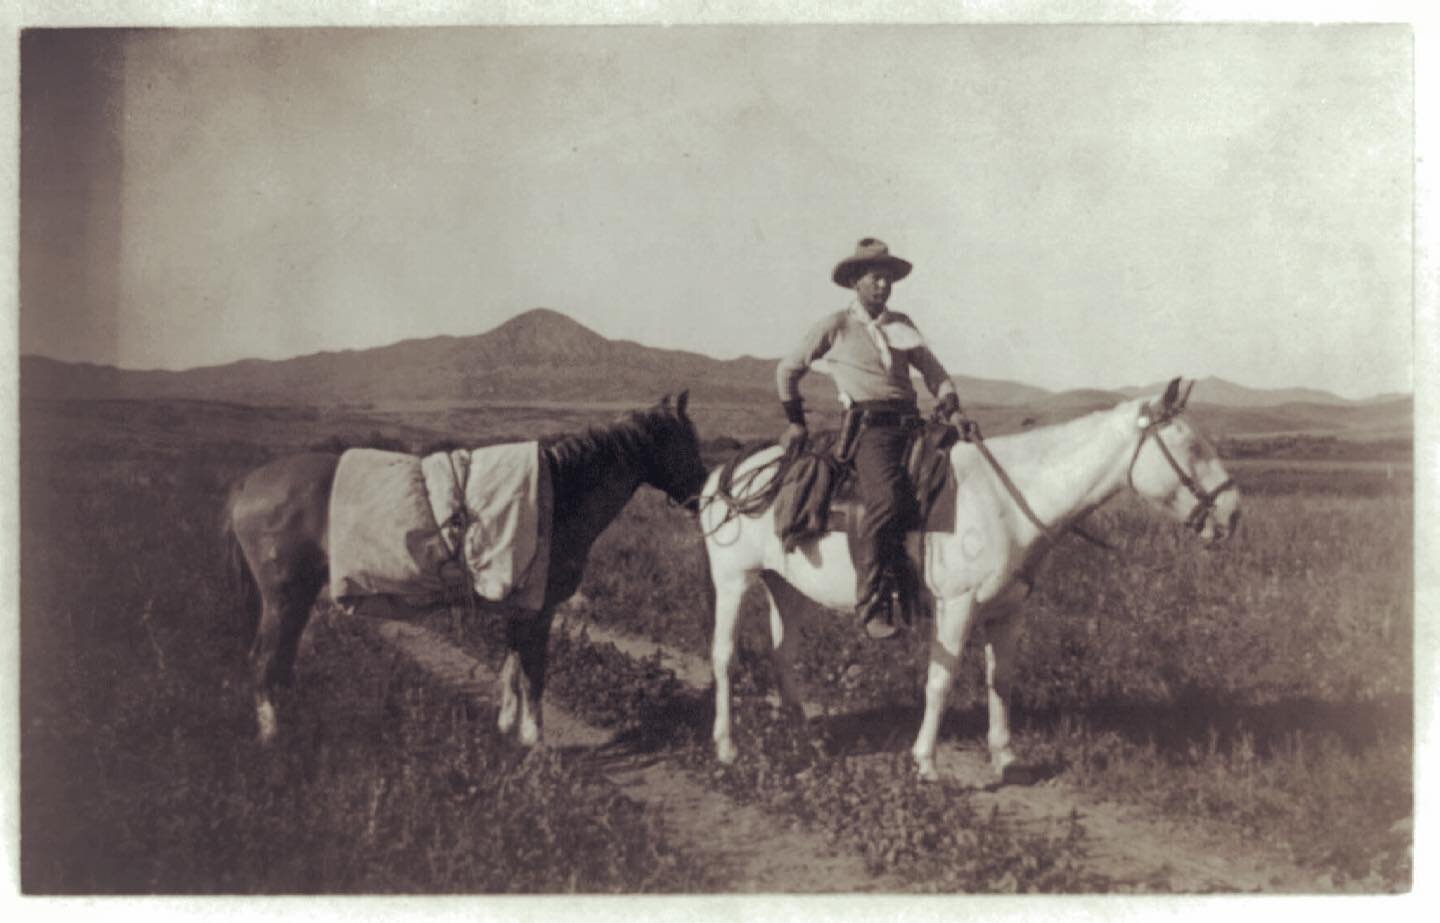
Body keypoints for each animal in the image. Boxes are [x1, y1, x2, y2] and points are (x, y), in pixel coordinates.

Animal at [220, 391, 708, 743]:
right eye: (686, 442)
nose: (702, 497)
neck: (555, 498)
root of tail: (248, 482)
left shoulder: (521, 602)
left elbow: (512, 665)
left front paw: (508, 727)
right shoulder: (540, 607)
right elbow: (533, 670)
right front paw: (534, 740)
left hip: (296, 597)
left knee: (279, 662)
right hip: (284, 597)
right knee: (265, 661)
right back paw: (274, 739)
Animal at [696, 374, 1238, 777]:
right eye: (1191, 446)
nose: (1233, 514)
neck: (1008, 499)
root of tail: (727, 473)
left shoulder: (1009, 610)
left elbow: (1002, 679)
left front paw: (1004, 756)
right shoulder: (955, 606)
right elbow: (942, 680)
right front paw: (925, 762)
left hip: (785, 586)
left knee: (783, 653)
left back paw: (803, 734)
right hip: (733, 579)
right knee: (724, 657)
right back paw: (726, 747)